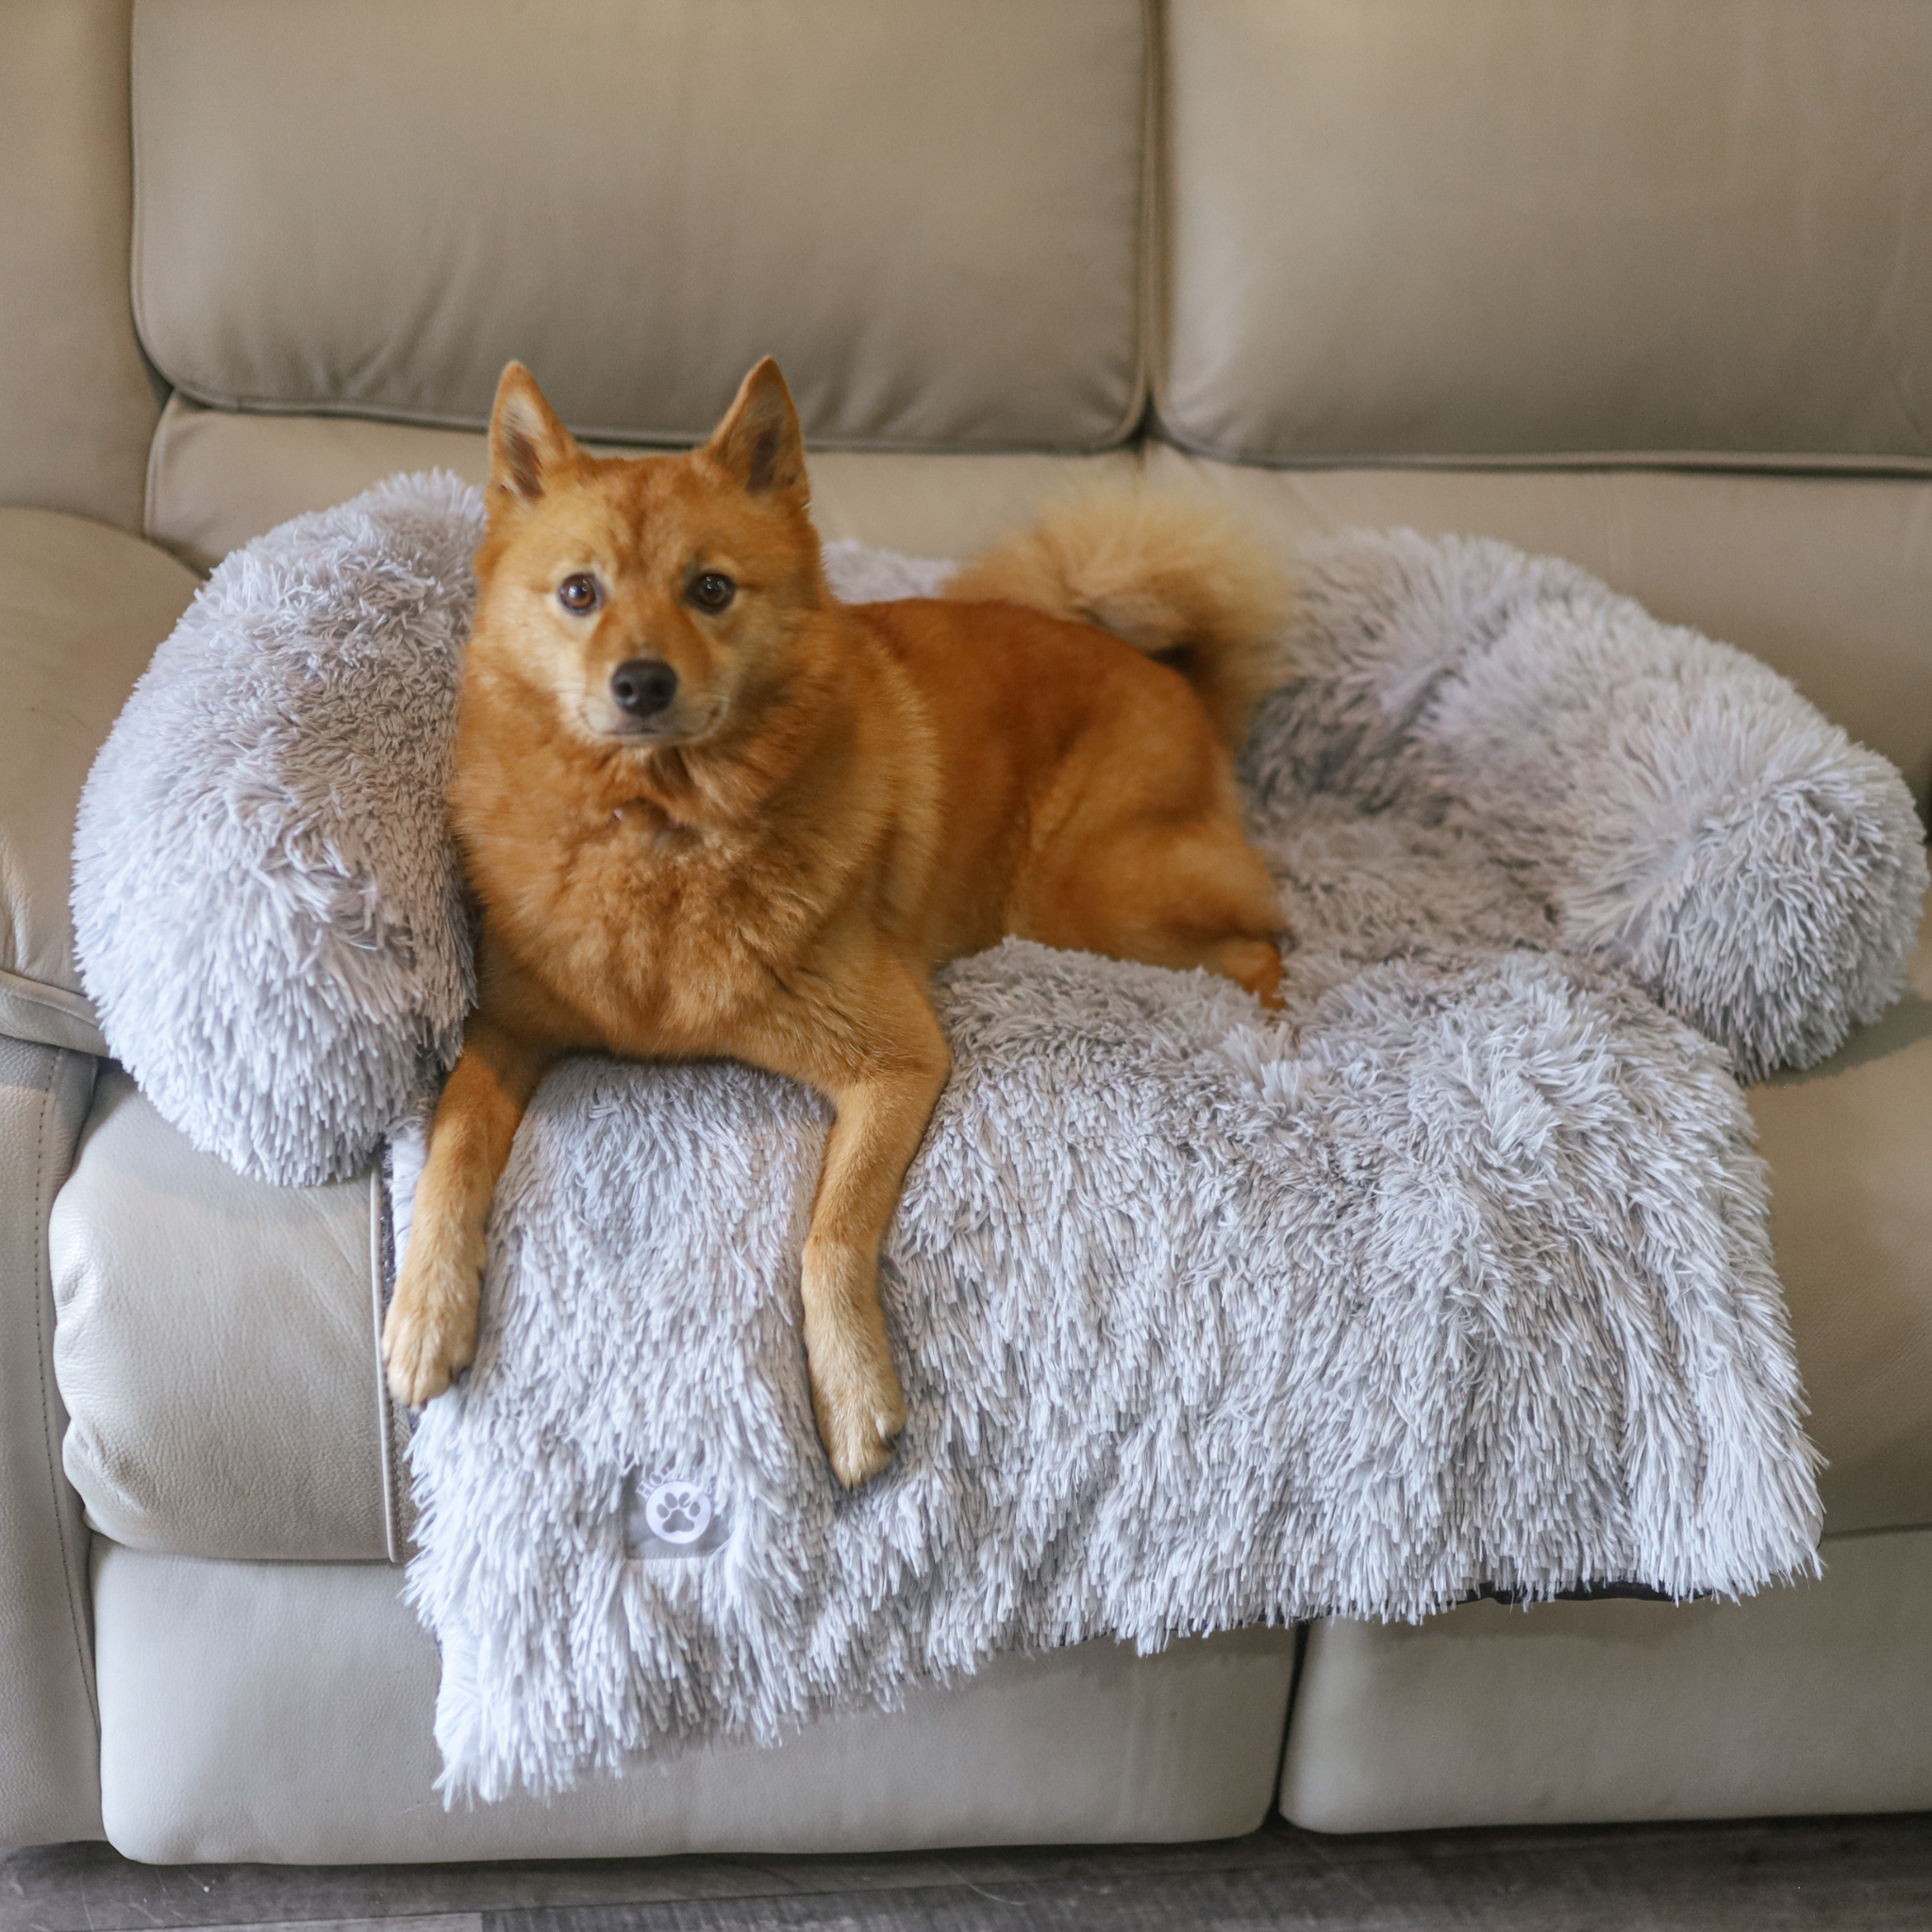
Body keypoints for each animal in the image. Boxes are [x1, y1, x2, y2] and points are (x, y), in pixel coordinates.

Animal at [382, 358, 1291, 1475]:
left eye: (711, 589)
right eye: (579, 592)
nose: (642, 683)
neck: (663, 834)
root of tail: (1169, 671)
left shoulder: (896, 1059)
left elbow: (830, 1230)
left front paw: (852, 1389)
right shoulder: (508, 1026)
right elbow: (454, 1144)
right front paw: (427, 1309)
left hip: (1087, 894)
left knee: (1260, 941)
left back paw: (1277, 1030)